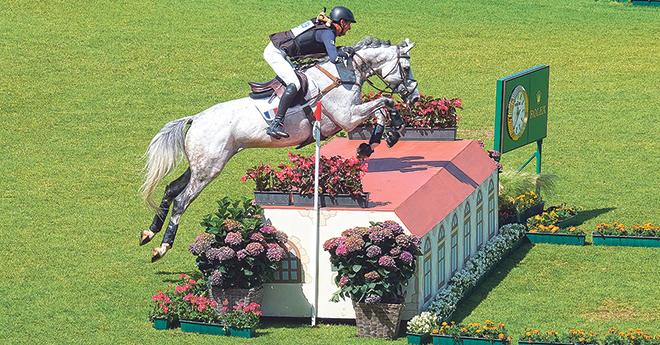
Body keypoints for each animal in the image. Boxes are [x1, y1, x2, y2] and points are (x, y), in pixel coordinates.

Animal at [138, 37, 422, 260]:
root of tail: (196, 118)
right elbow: (384, 102)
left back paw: (149, 233)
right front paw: (394, 127)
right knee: (181, 202)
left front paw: (375, 142)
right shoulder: (348, 117)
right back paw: (162, 247)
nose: (415, 96)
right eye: (406, 67)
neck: (343, 75)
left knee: (171, 189)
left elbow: (381, 110)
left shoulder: (349, 117)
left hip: (203, 165)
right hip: (208, 170)